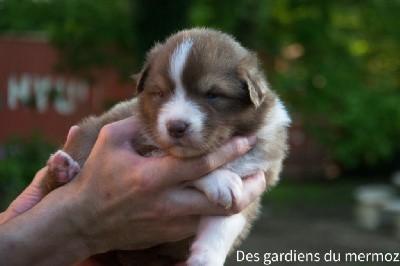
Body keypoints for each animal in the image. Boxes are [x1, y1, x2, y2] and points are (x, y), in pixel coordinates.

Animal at [44, 28, 290, 264]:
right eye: (161, 93)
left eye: (212, 94)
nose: (176, 126)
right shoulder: (144, 146)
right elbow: (182, 166)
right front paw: (220, 179)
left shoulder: (255, 180)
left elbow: (226, 222)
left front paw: (205, 258)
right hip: (87, 134)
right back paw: (62, 167)